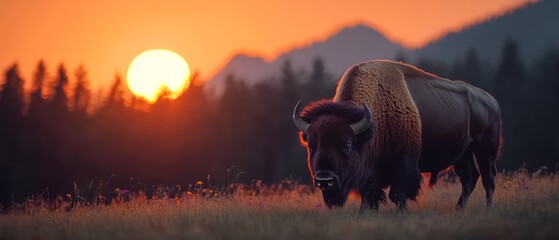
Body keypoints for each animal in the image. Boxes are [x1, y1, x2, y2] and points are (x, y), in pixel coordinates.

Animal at [294, 60, 504, 212]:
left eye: (346, 145)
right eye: (311, 146)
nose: (324, 180)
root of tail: (492, 101)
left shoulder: (404, 163)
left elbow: (399, 194)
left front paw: (401, 213)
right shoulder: (370, 175)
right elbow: (368, 195)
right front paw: (364, 212)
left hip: (485, 150)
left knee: (488, 178)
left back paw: (487, 208)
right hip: (462, 155)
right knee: (469, 178)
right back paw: (458, 208)